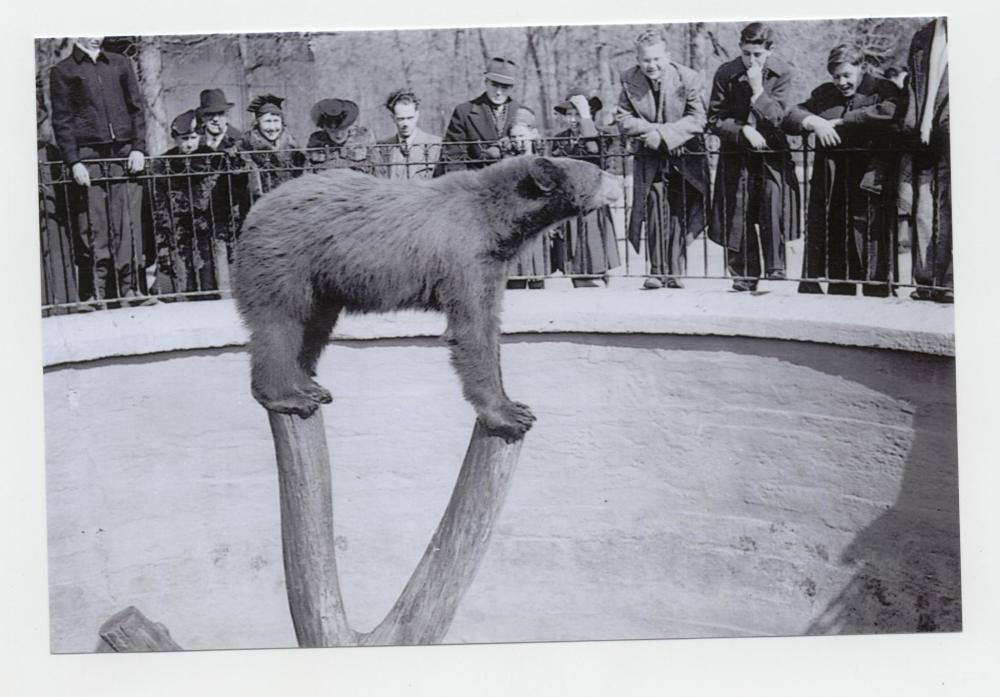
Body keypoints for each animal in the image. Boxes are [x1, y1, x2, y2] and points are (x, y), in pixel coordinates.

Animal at [232, 155, 621, 442]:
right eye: (598, 171)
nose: (619, 180)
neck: (498, 220)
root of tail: (257, 208)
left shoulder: (494, 262)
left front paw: (514, 404)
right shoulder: (465, 257)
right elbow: (472, 329)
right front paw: (510, 415)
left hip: (323, 282)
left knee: (314, 325)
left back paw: (309, 386)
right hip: (286, 258)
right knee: (280, 322)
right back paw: (287, 396)